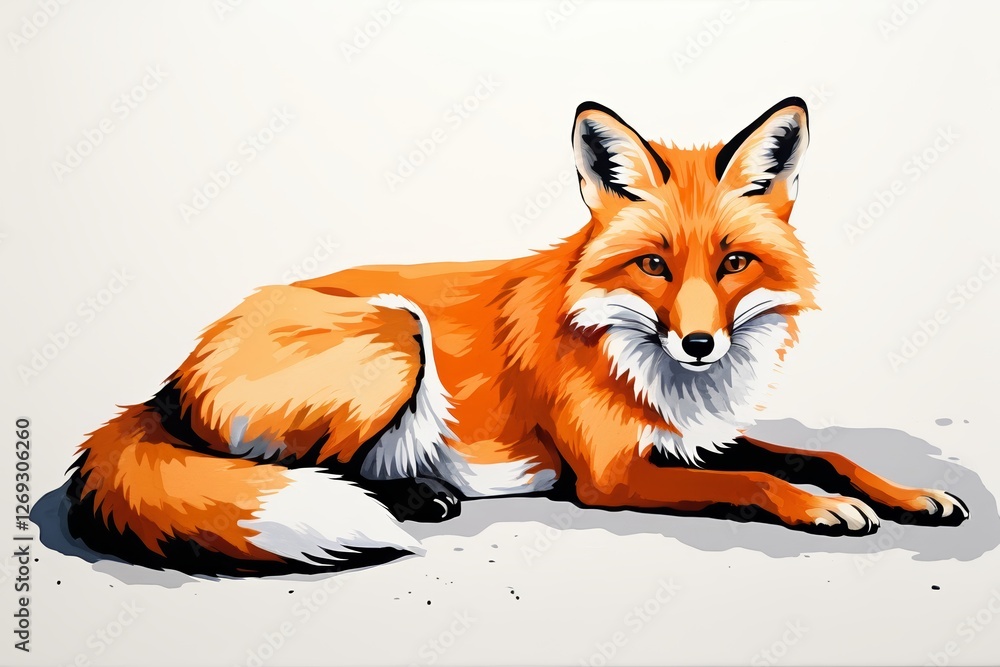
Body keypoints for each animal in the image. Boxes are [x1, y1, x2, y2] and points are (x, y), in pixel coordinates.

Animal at [66, 97, 969, 574]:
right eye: (653, 264)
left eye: (734, 261)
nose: (699, 344)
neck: (636, 355)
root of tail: (170, 378)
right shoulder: (611, 474)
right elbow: (759, 481)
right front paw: (824, 509)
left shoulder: (691, 437)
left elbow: (821, 454)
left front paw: (906, 493)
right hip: (398, 331)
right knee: (297, 465)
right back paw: (416, 496)